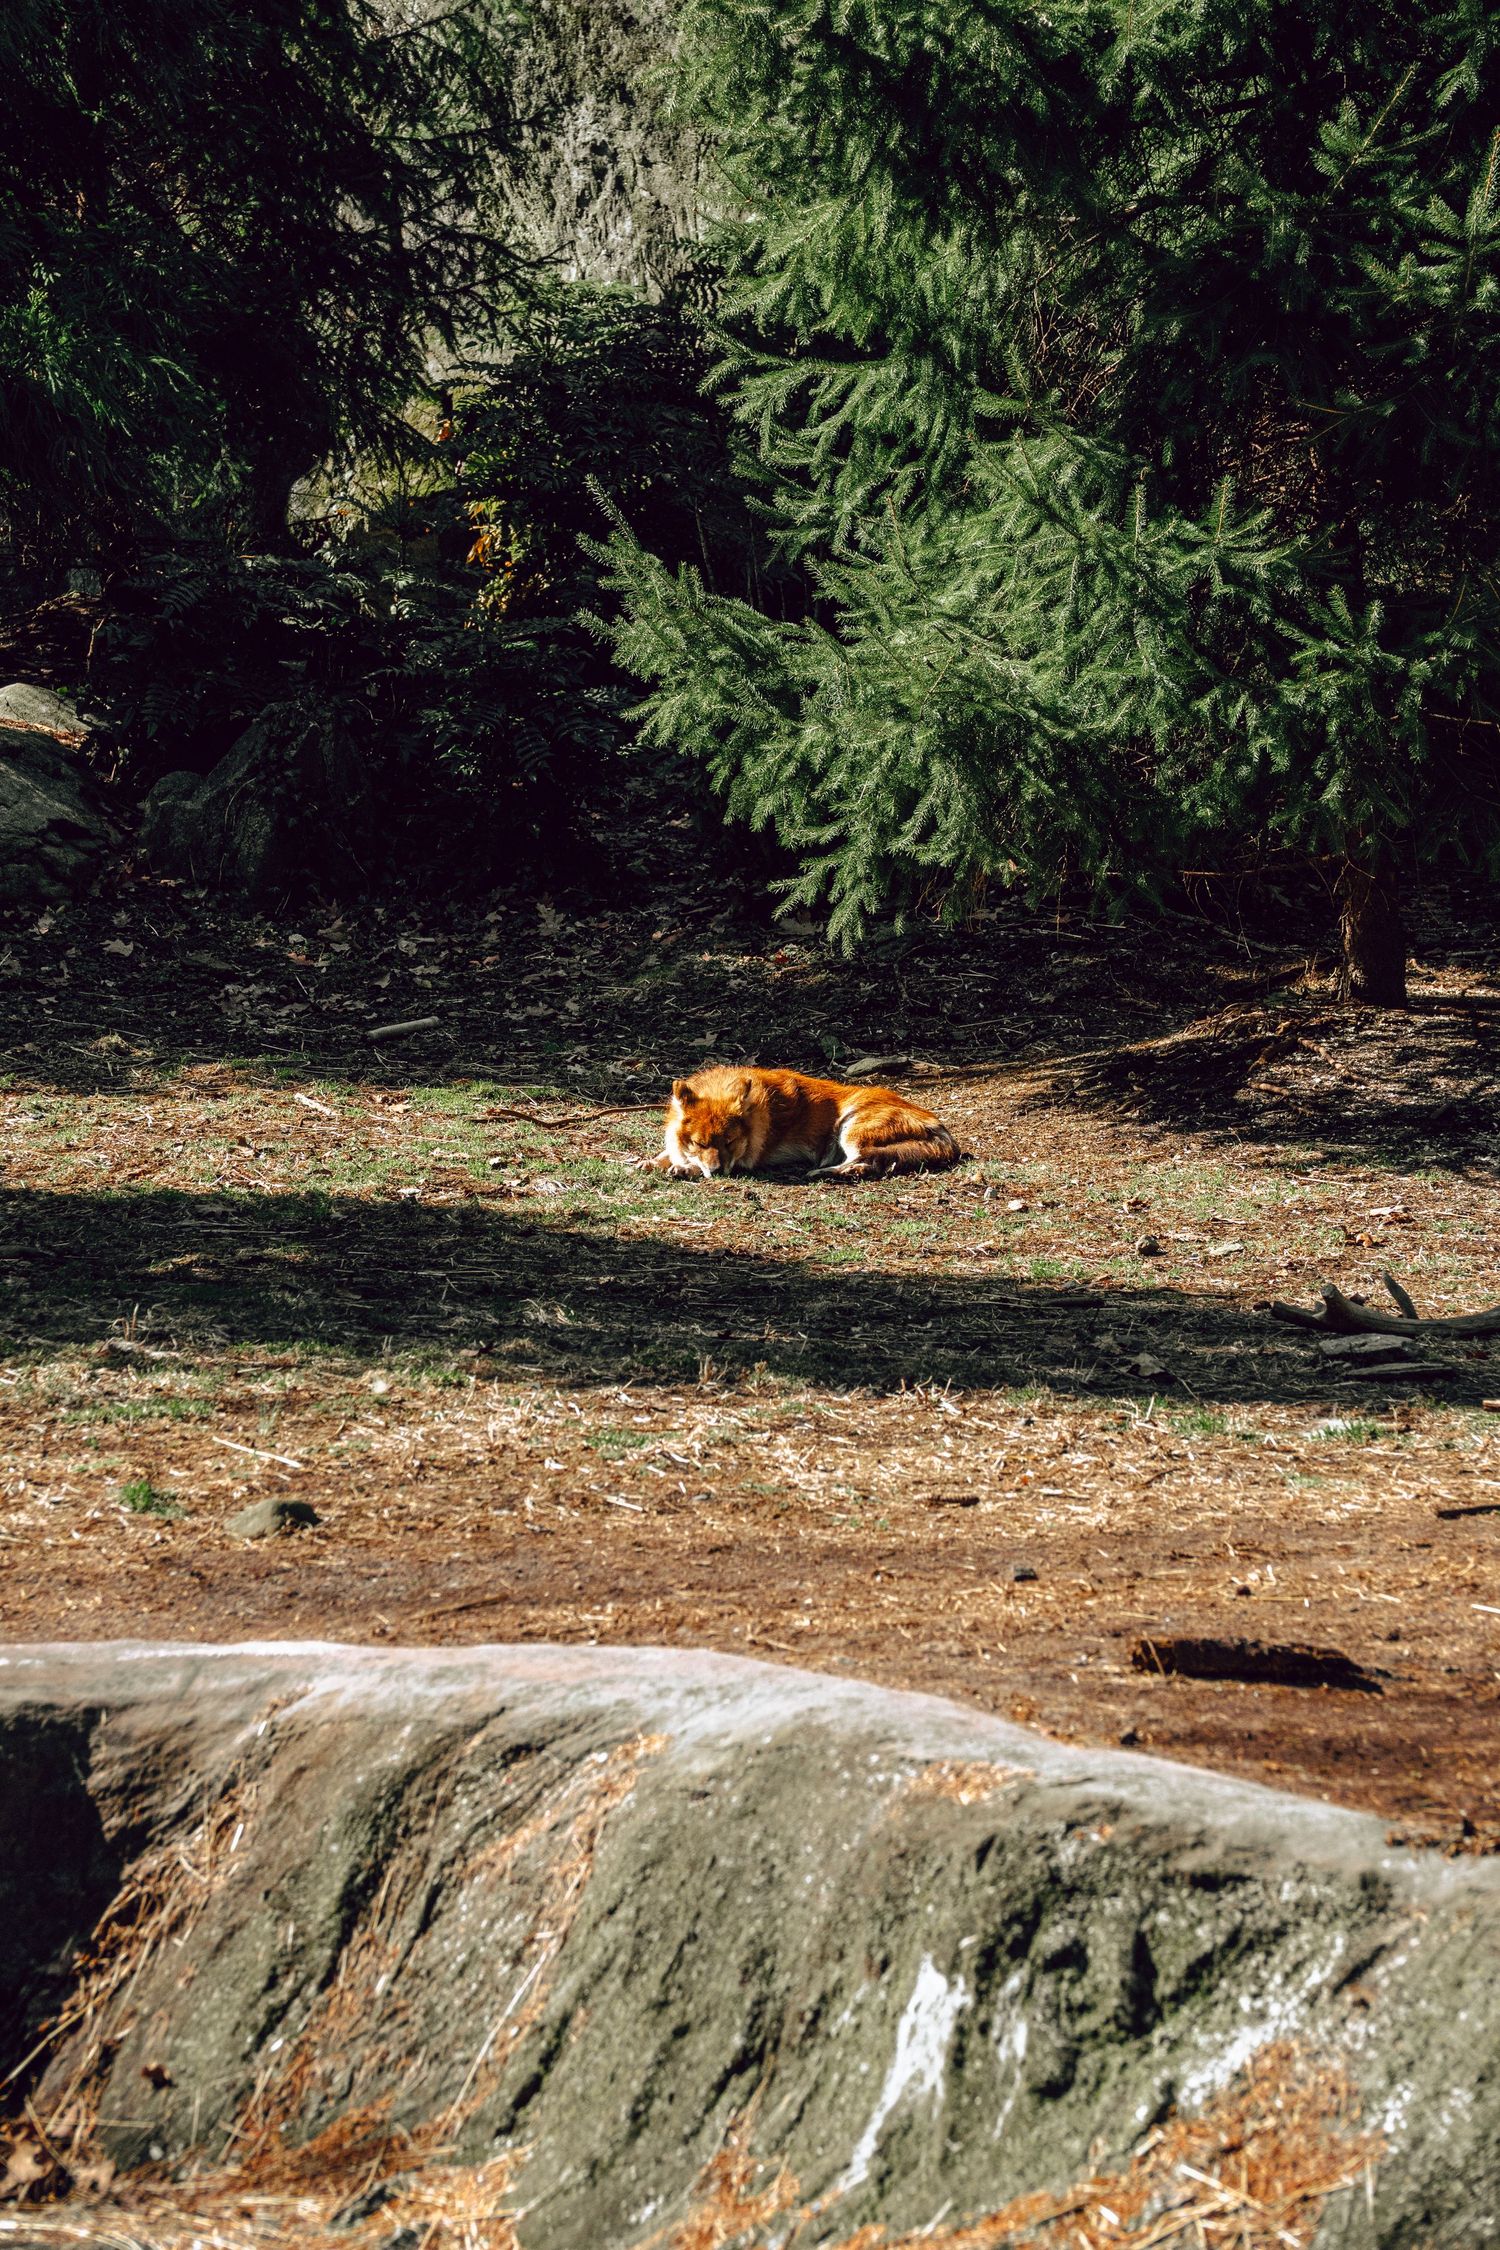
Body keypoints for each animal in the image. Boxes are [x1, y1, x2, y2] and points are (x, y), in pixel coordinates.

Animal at [644, 1065, 960, 1180]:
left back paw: (828, 1172)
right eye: (700, 1142)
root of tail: (941, 1127)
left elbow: (694, 1165)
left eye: (730, 1142)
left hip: (851, 1128)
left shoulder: (747, 1159)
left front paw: (685, 1168)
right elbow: (669, 1151)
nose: (718, 1171)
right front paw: (653, 1161)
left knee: (867, 1160)